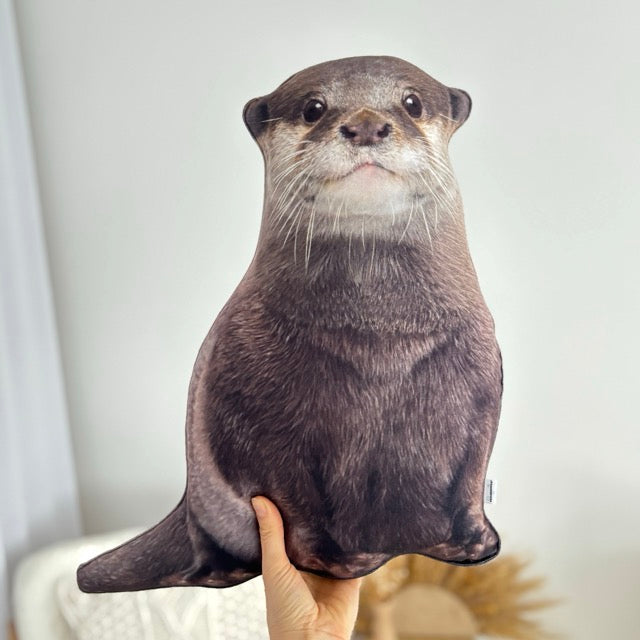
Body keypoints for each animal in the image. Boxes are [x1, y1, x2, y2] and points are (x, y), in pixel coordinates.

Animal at [77, 55, 502, 592]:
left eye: (412, 102)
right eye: (313, 107)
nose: (366, 125)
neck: (380, 340)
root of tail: (186, 502)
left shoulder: (482, 384)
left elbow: (471, 474)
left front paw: (475, 543)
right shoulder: (256, 415)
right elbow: (295, 500)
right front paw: (333, 562)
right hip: (207, 506)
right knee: (204, 541)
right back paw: (224, 570)